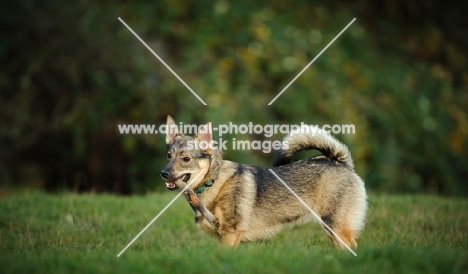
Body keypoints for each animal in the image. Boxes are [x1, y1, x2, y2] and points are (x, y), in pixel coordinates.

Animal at [161, 115, 366, 248]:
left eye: (186, 159)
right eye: (169, 156)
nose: (163, 173)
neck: (213, 181)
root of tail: (339, 160)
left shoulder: (230, 234)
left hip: (336, 227)